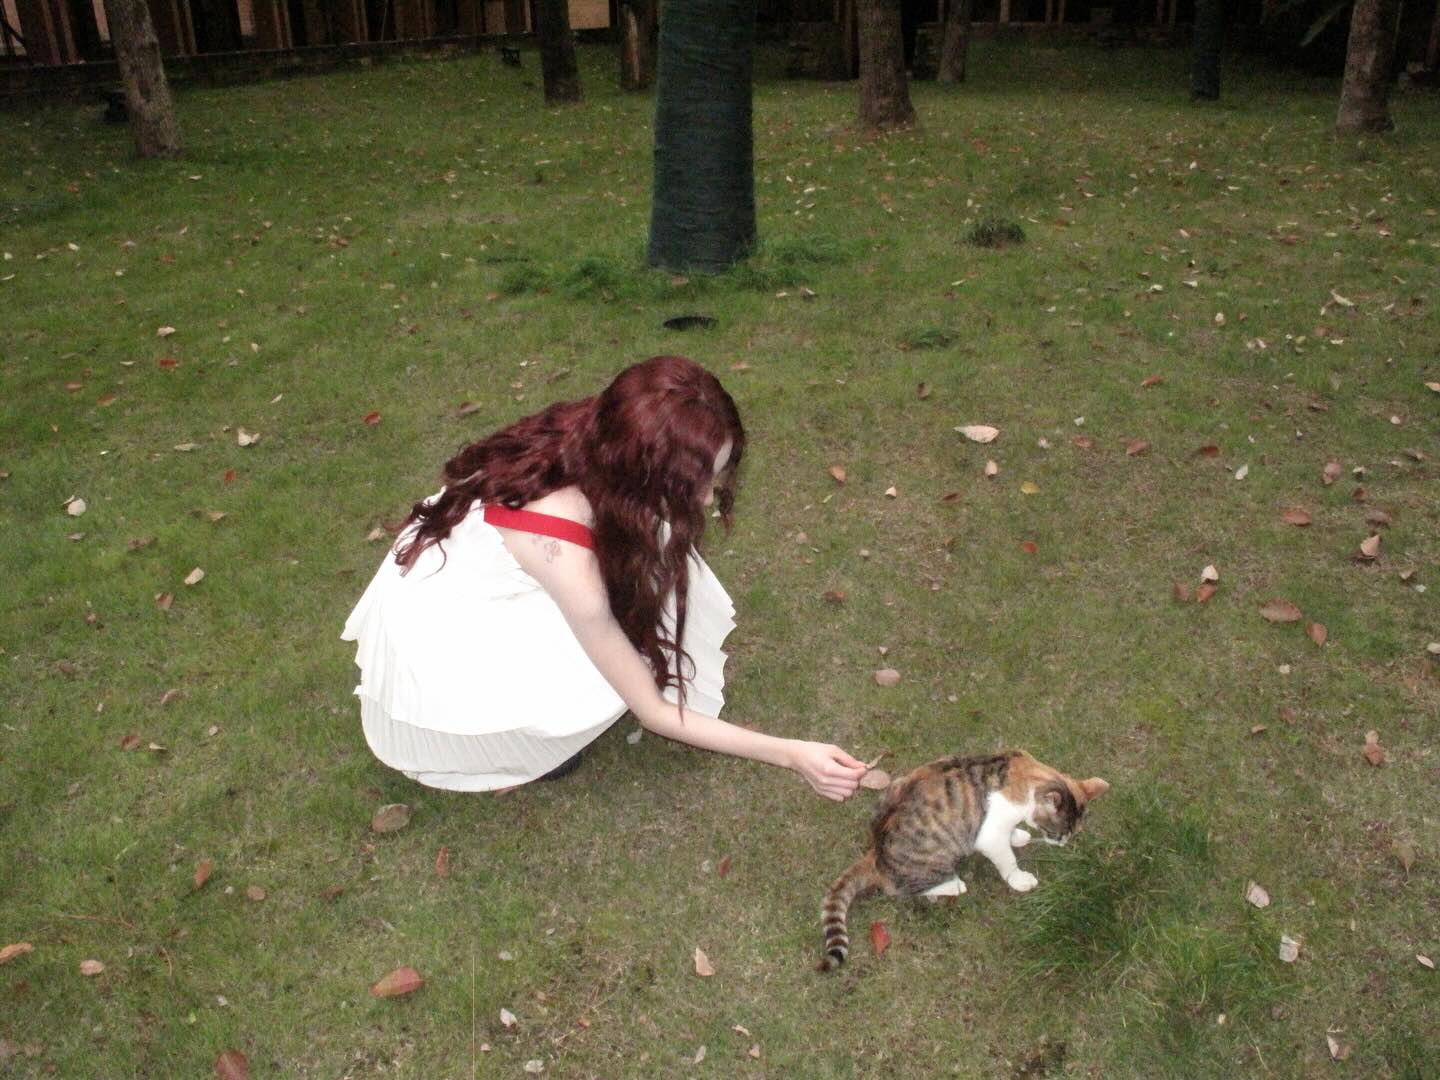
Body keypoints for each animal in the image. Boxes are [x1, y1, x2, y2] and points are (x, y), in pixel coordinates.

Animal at [817, 749, 1109, 972]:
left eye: (1072, 833)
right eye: (1058, 833)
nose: (1062, 844)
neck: (1024, 774)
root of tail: (876, 852)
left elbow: (1012, 835)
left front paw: (1018, 836)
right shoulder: (989, 835)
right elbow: (1007, 860)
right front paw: (1019, 878)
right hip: (933, 861)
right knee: (900, 888)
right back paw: (953, 885)